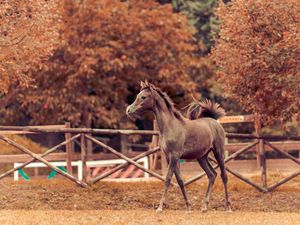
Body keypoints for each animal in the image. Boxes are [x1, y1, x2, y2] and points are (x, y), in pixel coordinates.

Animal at [125, 81, 231, 213]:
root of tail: (214, 121)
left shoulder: (175, 156)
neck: (170, 126)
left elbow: (168, 179)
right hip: (202, 157)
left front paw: (160, 207)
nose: (129, 110)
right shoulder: (169, 157)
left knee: (223, 176)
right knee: (212, 175)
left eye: (143, 97)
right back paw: (204, 206)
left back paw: (228, 207)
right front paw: (188, 207)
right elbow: (180, 180)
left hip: (218, 152)